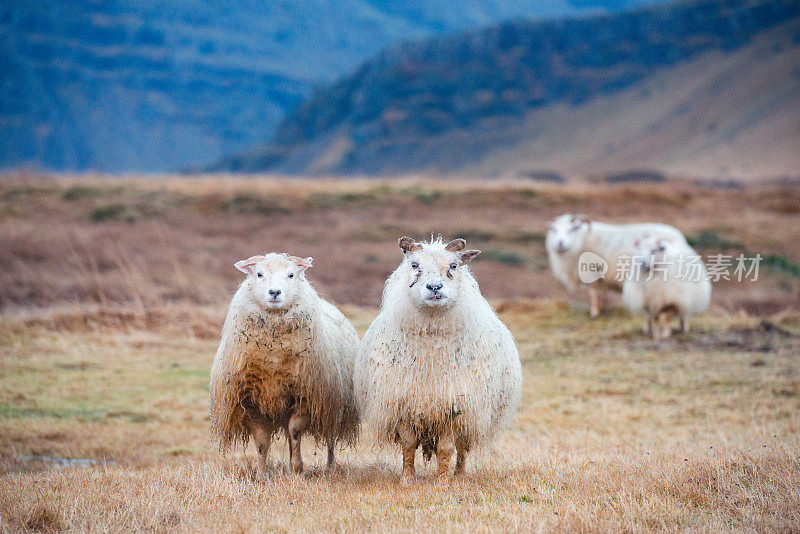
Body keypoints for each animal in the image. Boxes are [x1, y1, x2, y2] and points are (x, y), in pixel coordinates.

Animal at [208, 253, 358, 480]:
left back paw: (330, 467)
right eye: (259, 274)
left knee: (329, 437)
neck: (274, 357)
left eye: (291, 275)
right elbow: (262, 442)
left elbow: (295, 432)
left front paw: (297, 469)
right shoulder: (251, 400)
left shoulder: (305, 395)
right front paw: (262, 475)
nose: (275, 292)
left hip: (333, 404)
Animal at [354, 237, 520, 488]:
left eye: (453, 265)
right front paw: (407, 480)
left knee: (462, 449)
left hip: (471, 414)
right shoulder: (404, 405)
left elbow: (445, 449)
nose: (434, 288)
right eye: (414, 265)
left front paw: (442, 482)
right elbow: (408, 446)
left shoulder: (453, 409)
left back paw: (459, 475)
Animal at [548, 215, 692, 318]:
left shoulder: (592, 272)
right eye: (554, 230)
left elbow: (594, 294)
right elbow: (600, 293)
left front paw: (594, 313)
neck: (582, 240)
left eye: (571, 229)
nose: (560, 243)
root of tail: (680, 237)